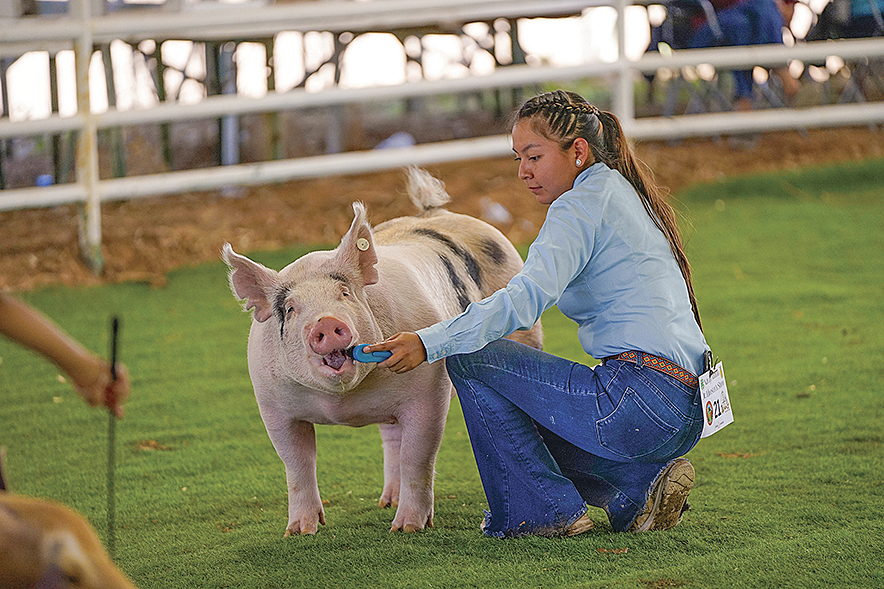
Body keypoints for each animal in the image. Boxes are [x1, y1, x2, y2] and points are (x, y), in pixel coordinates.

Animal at [223, 164, 540, 532]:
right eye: (290, 309)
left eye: (345, 293)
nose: (325, 323)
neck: (345, 405)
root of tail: (434, 211)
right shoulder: (272, 405)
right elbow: (297, 464)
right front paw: (298, 532)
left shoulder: (429, 394)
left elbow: (419, 456)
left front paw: (407, 528)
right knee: (391, 437)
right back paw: (386, 501)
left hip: (526, 326)